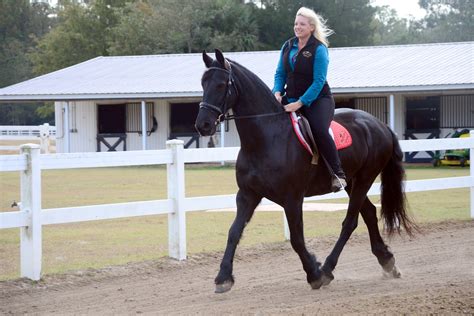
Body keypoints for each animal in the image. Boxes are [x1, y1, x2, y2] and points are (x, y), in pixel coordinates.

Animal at [194, 49, 412, 294]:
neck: (267, 137)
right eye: (203, 83)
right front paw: (223, 277)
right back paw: (387, 261)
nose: (203, 125)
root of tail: (380, 125)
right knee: (368, 213)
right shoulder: (247, 195)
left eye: (221, 85)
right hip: (353, 183)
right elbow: (234, 232)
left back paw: (328, 269)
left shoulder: (292, 199)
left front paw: (314, 273)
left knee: (350, 222)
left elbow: (297, 239)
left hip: (365, 179)